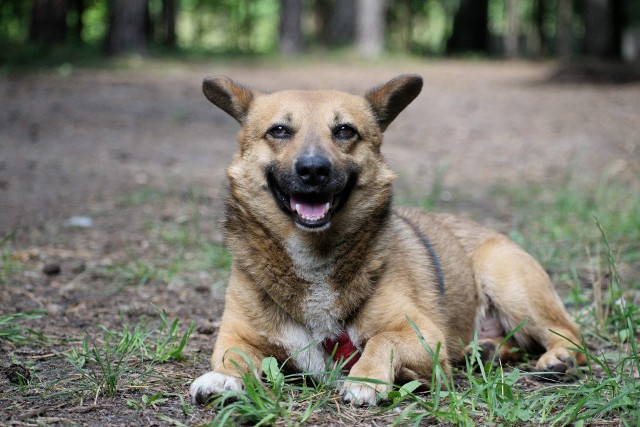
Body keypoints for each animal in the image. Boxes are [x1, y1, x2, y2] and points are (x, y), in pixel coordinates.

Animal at [189, 75, 584, 406]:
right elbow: (233, 356)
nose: (314, 170)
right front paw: (223, 378)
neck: (314, 255)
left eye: (345, 131)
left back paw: (558, 357)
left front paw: (367, 379)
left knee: (570, 333)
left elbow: (382, 339)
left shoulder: (424, 334)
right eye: (280, 130)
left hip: (509, 284)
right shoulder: (237, 337)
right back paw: (483, 350)